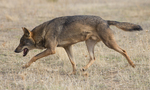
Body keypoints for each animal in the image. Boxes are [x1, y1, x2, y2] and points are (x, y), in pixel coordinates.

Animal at [14, 15, 142, 74]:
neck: (44, 32)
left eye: (22, 42)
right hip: (89, 44)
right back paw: (84, 68)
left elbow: (34, 57)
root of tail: (105, 21)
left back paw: (133, 64)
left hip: (109, 44)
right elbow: (73, 61)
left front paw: (25, 66)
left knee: (124, 51)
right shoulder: (67, 46)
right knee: (93, 58)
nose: (15, 51)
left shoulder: (51, 50)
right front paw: (73, 73)